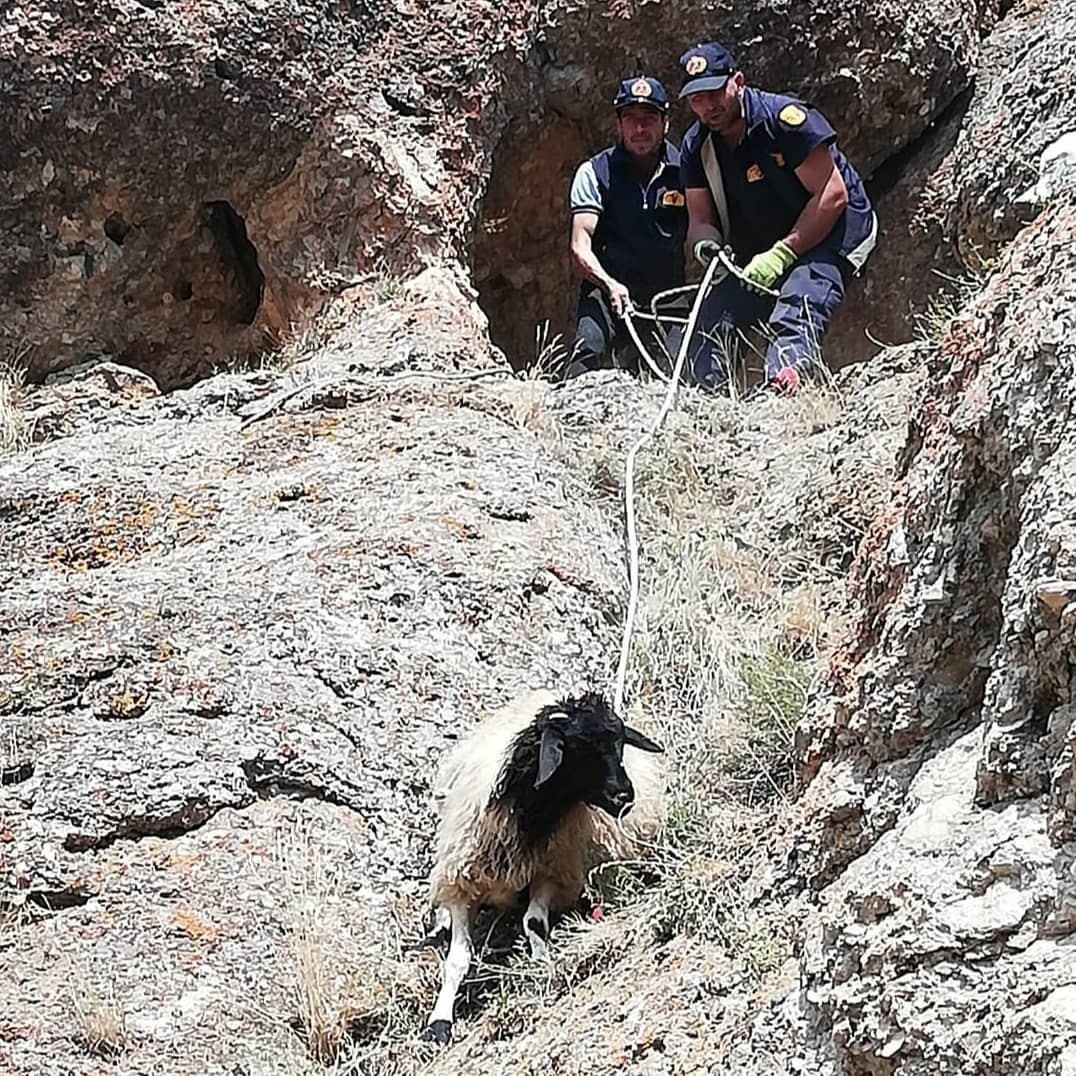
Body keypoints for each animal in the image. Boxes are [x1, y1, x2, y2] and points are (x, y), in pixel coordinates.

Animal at [419, 684, 662, 1045]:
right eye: (578, 748)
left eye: (620, 743)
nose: (624, 796)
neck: (531, 815)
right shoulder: (462, 880)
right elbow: (458, 958)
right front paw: (439, 1023)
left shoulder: (551, 871)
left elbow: (534, 923)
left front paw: (543, 968)